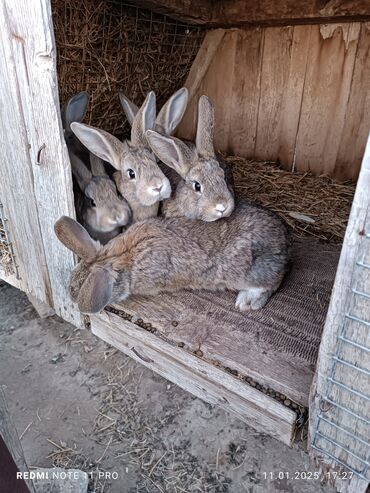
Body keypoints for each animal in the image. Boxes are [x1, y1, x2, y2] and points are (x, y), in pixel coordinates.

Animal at [55, 200, 292, 316]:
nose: (70, 297)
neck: (120, 256)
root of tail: (284, 242)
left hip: (249, 270)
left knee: (272, 283)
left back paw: (247, 302)